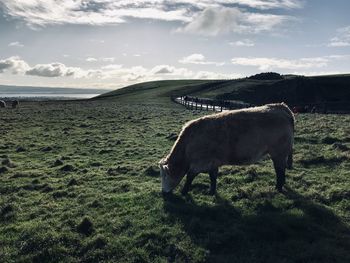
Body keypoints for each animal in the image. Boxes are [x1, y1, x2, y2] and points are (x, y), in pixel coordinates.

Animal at [160, 103, 294, 196]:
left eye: (164, 176)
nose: (163, 192)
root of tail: (282, 107)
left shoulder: (199, 163)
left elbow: (189, 177)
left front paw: (183, 192)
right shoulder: (212, 162)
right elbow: (213, 177)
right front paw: (212, 191)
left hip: (279, 153)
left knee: (280, 170)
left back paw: (278, 188)